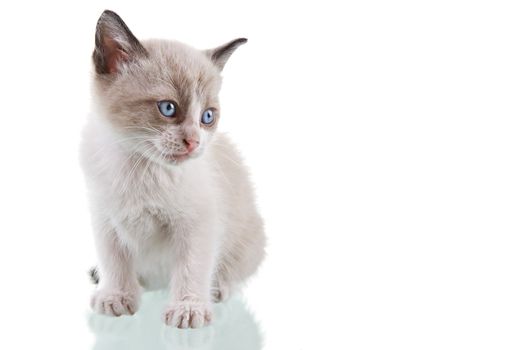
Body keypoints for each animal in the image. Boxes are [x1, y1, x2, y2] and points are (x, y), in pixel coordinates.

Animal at [80, 10, 266, 328]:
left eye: (207, 117)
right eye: (168, 108)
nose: (193, 143)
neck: (140, 166)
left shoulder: (199, 222)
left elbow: (192, 265)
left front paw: (188, 308)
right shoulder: (104, 217)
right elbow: (114, 259)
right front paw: (116, 295)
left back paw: (217, 289)